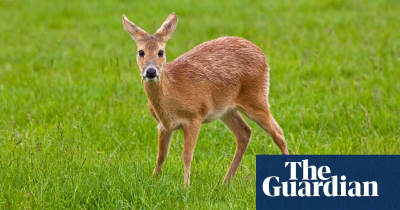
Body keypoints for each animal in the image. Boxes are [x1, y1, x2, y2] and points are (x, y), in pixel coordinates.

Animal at [122, 12, 288, 185]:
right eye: (141, 52)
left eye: (161, 52)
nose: (151, 71)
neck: (172, 95)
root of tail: (262, 54)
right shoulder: (163, 125)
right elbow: (161, 155)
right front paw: (153, 178)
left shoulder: (195, 116)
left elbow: (187, 155)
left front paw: (186, 185)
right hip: (226, 109)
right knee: (245, 132)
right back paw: (225, 182)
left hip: (256, 97)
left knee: (278, 132)